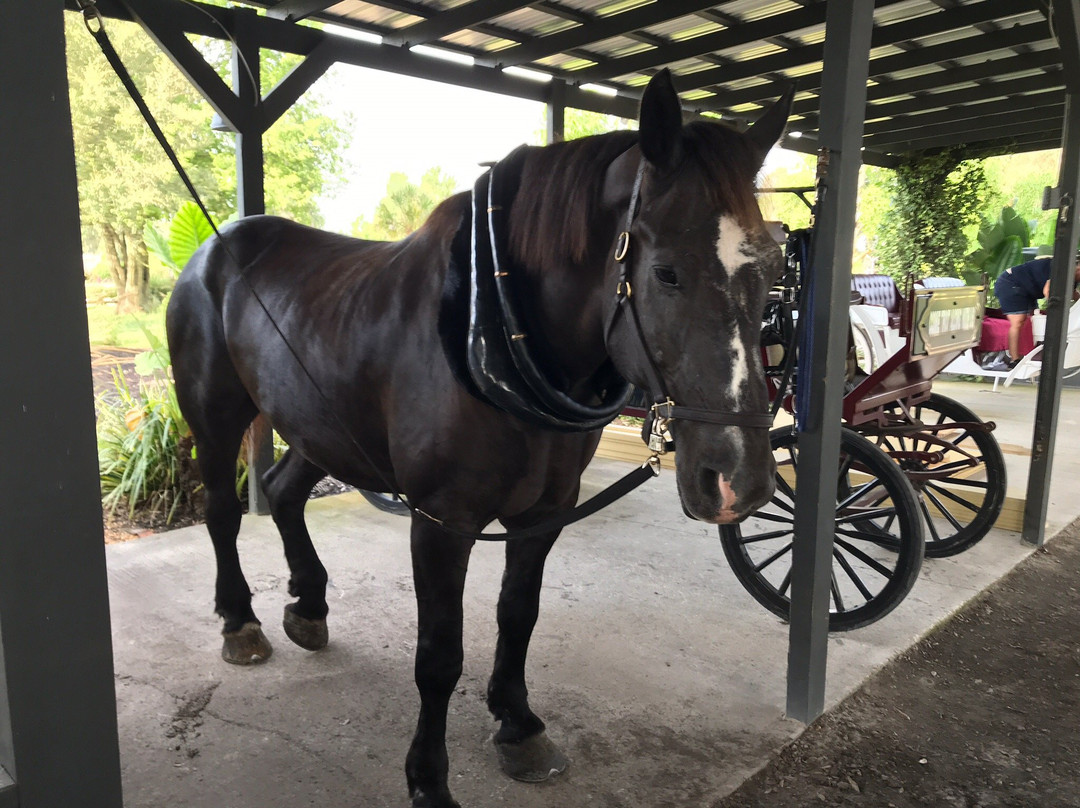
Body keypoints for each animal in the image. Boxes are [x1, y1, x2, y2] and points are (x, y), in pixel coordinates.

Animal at [166, 69, 791, 808]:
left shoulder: (544, 512)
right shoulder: (443, 521)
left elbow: (518, 615)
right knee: (224, 510)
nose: (740, 480)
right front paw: (428, 778)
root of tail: (217, 246)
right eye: (666, 270)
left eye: (773, 267)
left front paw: (518, 725)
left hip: (318, 424)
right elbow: (439, 654)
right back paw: (240, 620)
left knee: (283, 492)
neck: (488, 324)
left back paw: (310, 604)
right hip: (214, 411)